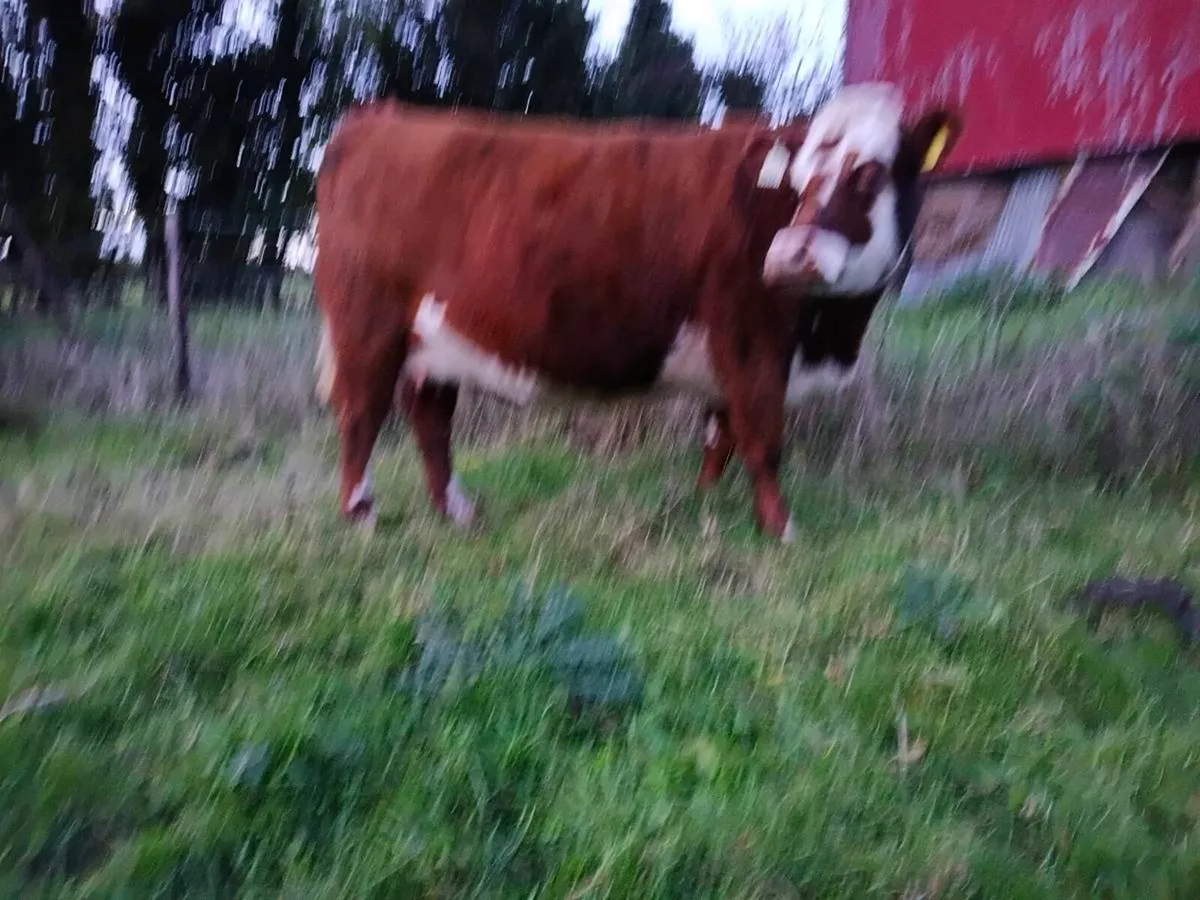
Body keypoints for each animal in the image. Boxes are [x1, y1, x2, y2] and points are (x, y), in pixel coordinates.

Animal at [312, 83, 961, 541]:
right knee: (363, 411)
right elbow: (762, 436)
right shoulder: (751, 336)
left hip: (437, 337)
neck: (829, 334)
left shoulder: (732, 357)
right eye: (799, 180)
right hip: (368, 322)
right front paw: (782, 529)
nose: (789, 257)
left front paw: (704, 502)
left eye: (869, 173)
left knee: (429, 419)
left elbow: (719, 438)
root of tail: (377, 116)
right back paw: (360, 512)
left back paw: (457, 509)